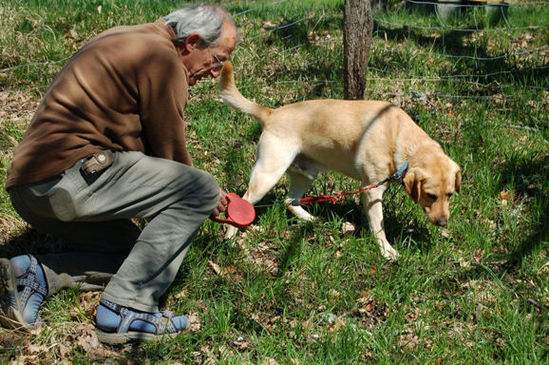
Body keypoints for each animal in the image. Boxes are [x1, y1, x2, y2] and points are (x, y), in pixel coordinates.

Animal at [220, 64, 460, 260]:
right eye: (430, 195)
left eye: (449, 195)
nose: (443, 223)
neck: (399, 137)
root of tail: (271, 113)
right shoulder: (373, 189)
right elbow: (379, 224)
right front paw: (386, 250)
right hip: (267, 175)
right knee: (245, 201)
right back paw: (231, 239)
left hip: (305, 175)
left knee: (289, 201)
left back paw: (310, 220)